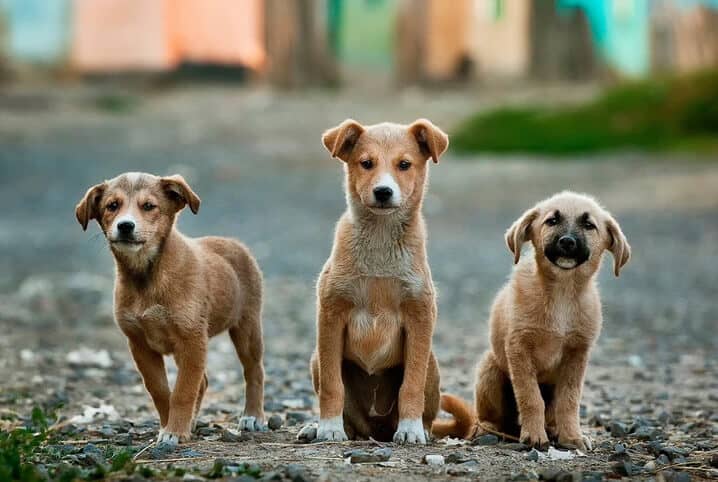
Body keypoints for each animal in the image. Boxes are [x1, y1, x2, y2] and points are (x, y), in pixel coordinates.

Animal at [74, 172, 266, 444]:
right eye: (112, 206)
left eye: (149, 206)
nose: (125, 226)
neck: (147, 276)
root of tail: (233, 243)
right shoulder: (140, 344)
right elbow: (161, 390)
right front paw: (170, 426)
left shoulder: (192, 340)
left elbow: (183, 391)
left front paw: (175, 431)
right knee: (203, 381)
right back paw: (193, 422)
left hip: (247, 327)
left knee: (254, 371)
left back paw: (252, 416)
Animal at [310, 118, 450, 442]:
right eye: (366, 163)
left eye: (404, 164)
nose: (383, 191)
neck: (380, 241)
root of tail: (374, 430)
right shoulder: (331, 314)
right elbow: (332, 386)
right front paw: (329, 427)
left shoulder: (420, 316)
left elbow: (410, 385)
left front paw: (410, 429)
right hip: (315, 359)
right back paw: (317, 428)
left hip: (432, 363)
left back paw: (420, 430)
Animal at [434, 190, 632, 450]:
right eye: (552, 221)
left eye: (589, 225)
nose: (567, 242)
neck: (561, 293)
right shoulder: (519, 348)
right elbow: (530, 397)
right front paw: (535, 436)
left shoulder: (577, 354)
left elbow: (569, 401)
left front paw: (572, 437)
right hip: (490, 368)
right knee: (487, 417)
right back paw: (489, 430)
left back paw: (553, 430)